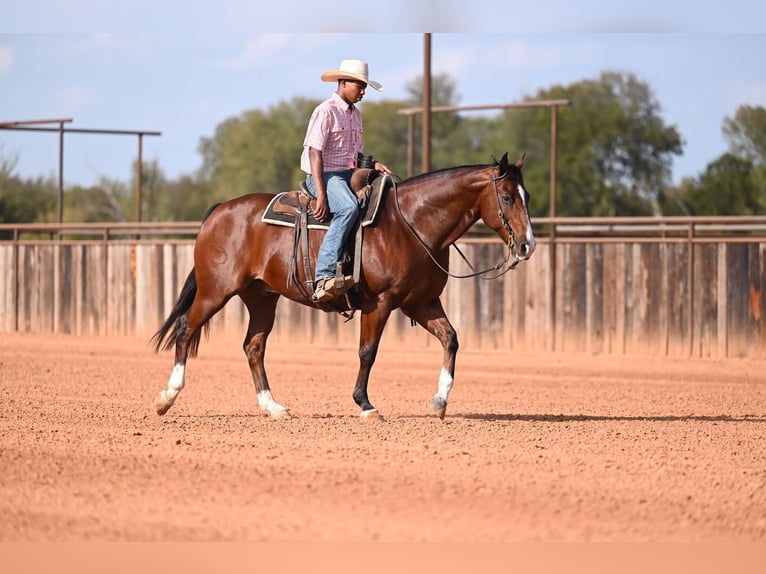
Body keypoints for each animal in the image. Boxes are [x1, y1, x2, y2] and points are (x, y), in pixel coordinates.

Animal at [151, 152, 536, 421]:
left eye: (527, 195)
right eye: (506, 196)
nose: (527, 245)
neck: (410, 223)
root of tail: (219, 212)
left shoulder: (422, 302)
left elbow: (451, 338)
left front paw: (440, 401)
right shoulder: (380, 303)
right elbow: (368, 352)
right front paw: (365, 405)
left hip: (261, 297)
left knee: (253, 347)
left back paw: (273, 407)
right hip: (216, 290)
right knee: (186, 328)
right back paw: (167, 397)